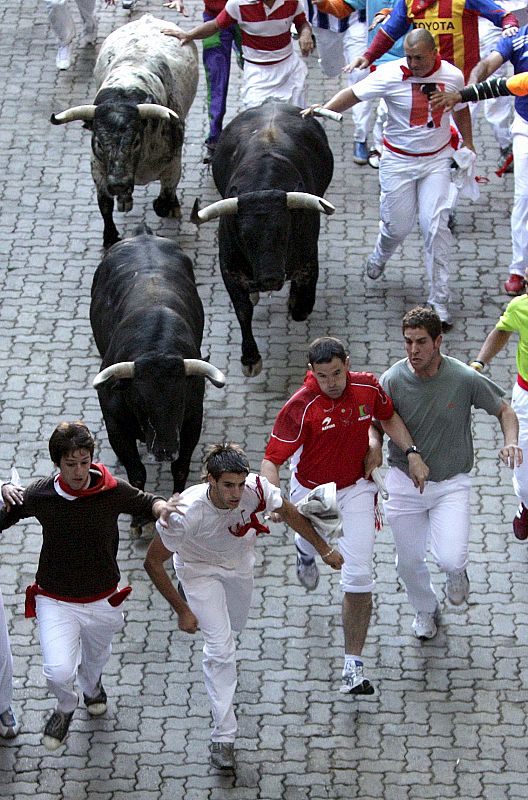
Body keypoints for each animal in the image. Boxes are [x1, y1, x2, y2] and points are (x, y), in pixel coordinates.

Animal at [89, 228, 225, 536]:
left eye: (182, 398)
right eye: (139, 400)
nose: (164, 449)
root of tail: (143, 235)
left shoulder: (191, 422)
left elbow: (181, 467)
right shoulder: (115, 425)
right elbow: (136, 472)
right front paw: (138, 521)